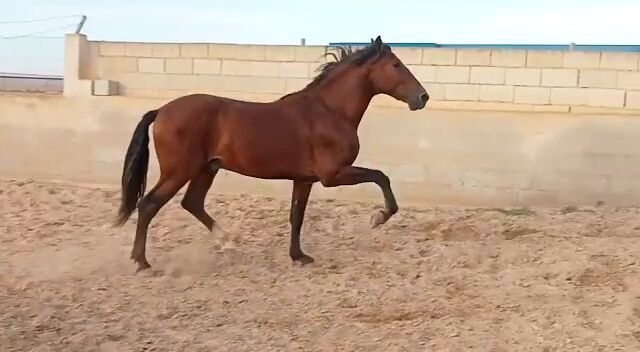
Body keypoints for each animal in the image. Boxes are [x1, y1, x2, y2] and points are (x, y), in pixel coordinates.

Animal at [114, 36, 430, 272]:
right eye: (396, 65)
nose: (422, 97)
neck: (329, 111)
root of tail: (161, 111)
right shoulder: (332, 175)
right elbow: (381, 177)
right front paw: (380, 217)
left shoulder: (304, 180)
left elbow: (296, 216)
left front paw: (299, 256)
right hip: (179, 171)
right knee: (148, 204)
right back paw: (142, 262)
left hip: (206, 168)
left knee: (191, 202)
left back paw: (227, 240)